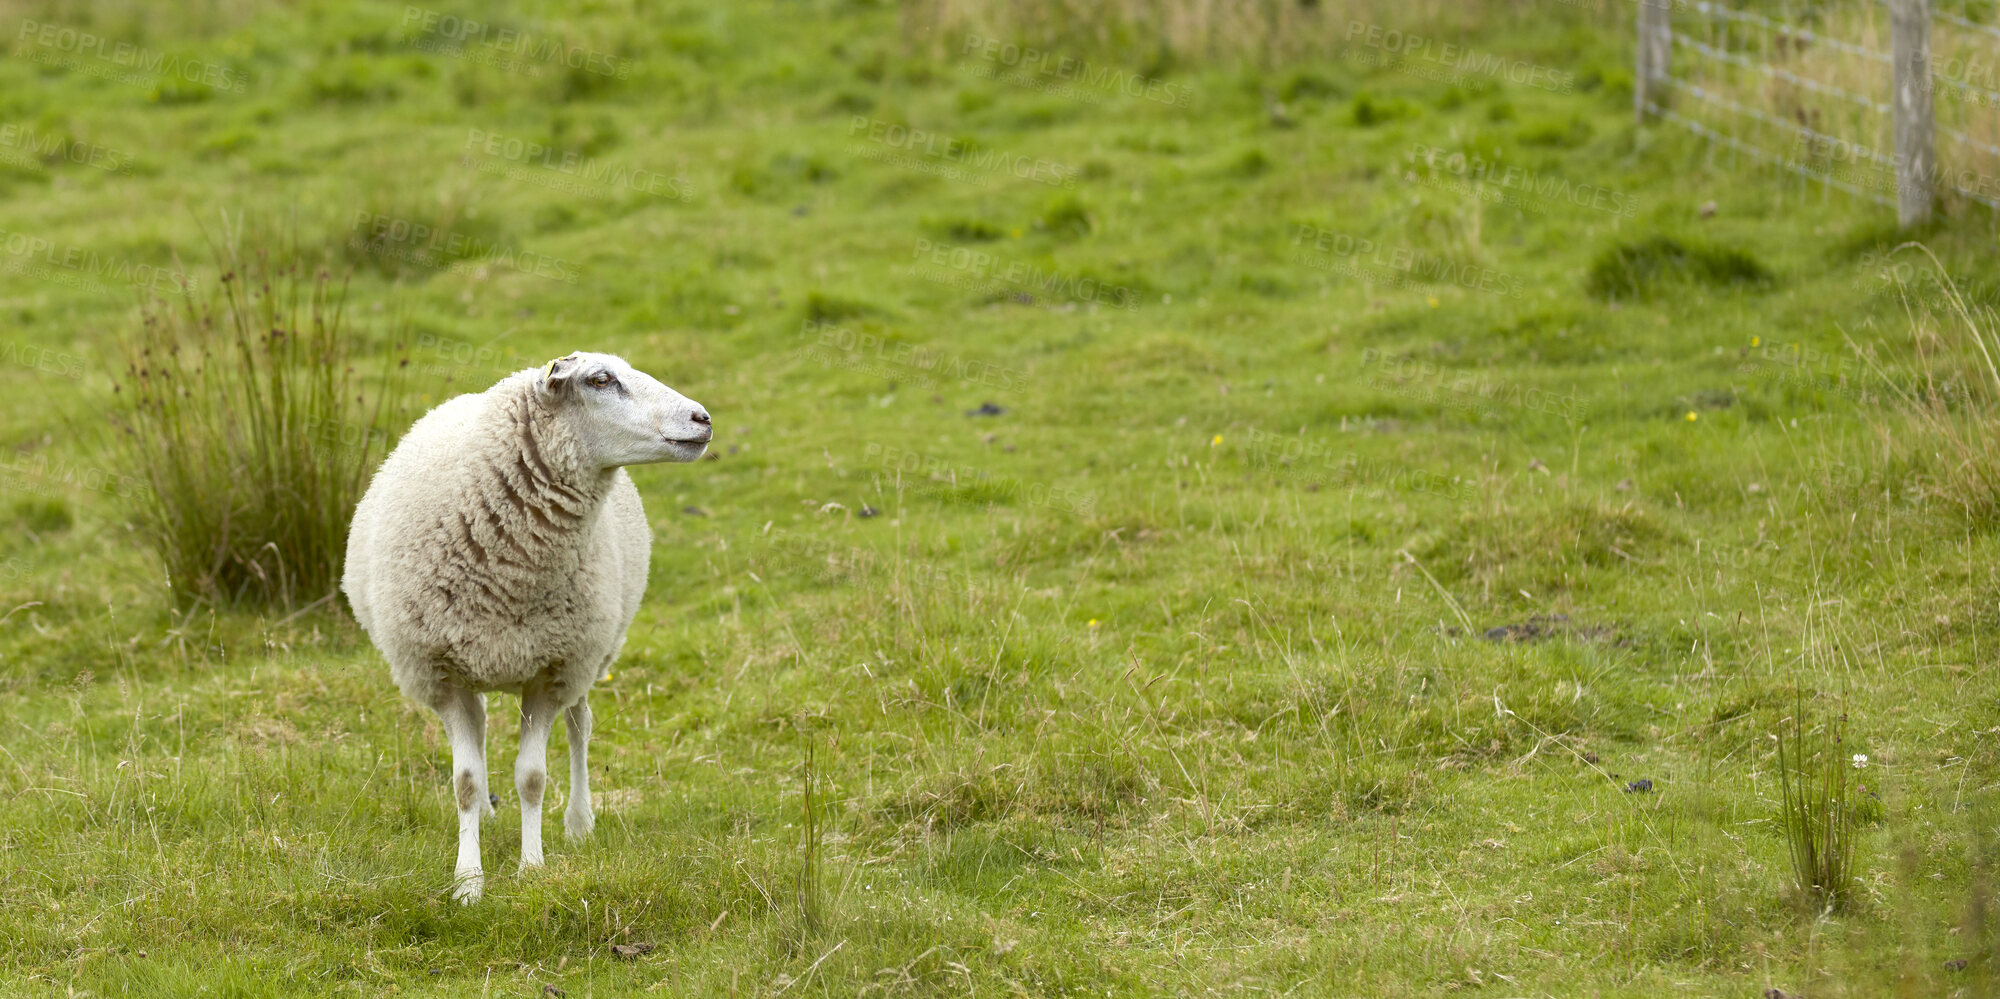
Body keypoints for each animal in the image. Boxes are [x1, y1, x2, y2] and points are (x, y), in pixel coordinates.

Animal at [342, 351, 711, 902]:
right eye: (600, 380)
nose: (702, 419)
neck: (510, 571)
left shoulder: (552, 672)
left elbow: (532, 778)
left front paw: (531, 868)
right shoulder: (442, 675)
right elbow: (465, 782)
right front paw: (468, 881)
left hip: (590, 656)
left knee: (580, 728)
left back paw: (579, 823)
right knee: (482, 736)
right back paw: (488, 817)